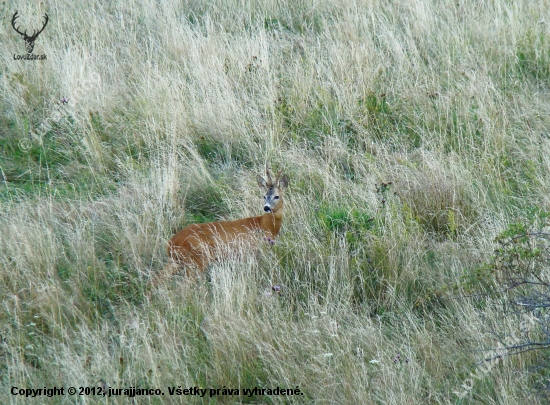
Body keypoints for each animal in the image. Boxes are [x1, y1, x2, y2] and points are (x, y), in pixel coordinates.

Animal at [157, 163, 292, 282]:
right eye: (264, 196)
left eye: (276, 196)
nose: (266, 207)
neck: (264, 225)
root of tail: (171, 243)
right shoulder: (251, 253)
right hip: (197, 259)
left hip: (176, 261)